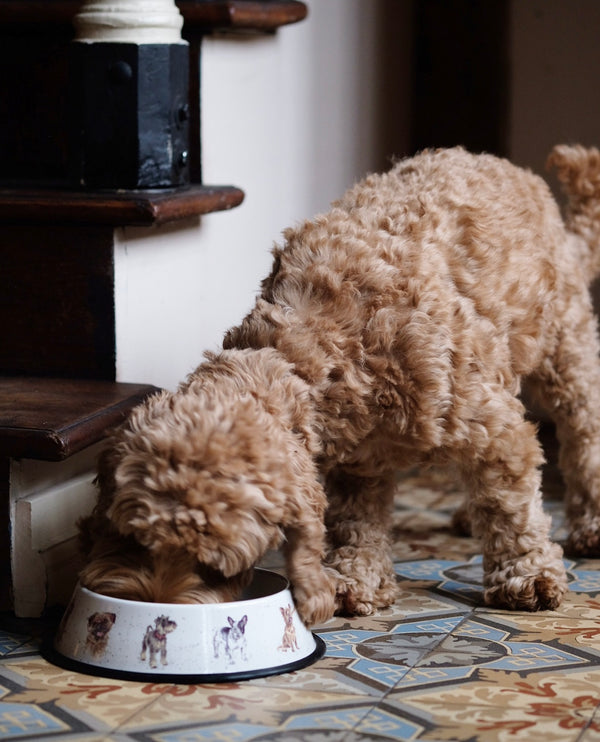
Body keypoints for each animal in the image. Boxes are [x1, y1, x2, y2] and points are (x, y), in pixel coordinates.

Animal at [79, 145, 600, 628]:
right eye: (134, 540)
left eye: (215, 568)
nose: (155, 610)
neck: (315, 347)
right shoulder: (360, 455)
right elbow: (356, 518)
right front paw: (355, 578)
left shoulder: (491, 427)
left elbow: (509, 504)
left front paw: (526, 573)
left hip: (565, 350)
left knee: (583, 434)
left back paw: (590, 524)